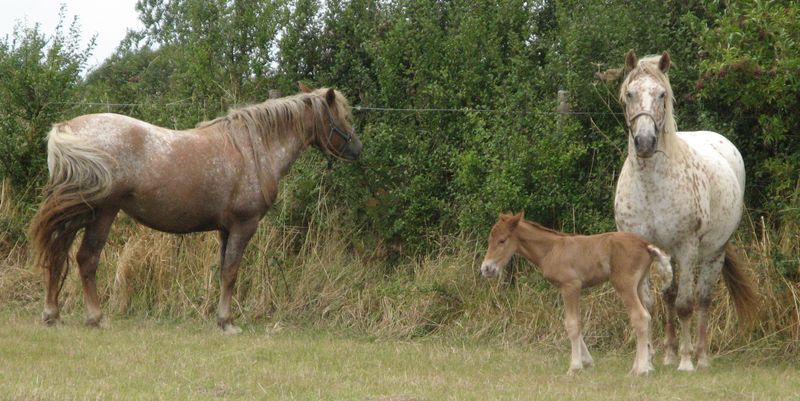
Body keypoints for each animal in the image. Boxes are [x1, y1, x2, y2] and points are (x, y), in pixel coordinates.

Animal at [27, 83, 360, 332]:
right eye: (341, 116)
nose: (357, 149)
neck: (252, 148)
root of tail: (66, 128)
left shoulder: (225, 229)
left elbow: (224, 270)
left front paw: (221, 319)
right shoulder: (244, 225)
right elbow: (231, 272)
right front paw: (227, 322)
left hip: (78, 213)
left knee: (59, 254)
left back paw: (52, 314)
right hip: (102, 212)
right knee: (86, 259)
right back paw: (95, 317)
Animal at [478, 212, 672, 376]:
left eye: (502, 241)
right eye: (490, 239)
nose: (486, 269)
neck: (552, 249)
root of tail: (646, 245)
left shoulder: (570, 286)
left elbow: (571, 324)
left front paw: (574, 367)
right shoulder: (570, 289)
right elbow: (577, 322)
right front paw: (587, 362)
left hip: (624, 284)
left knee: (640, 317)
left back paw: (640, 370)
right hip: (638, 284)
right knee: (647, 315)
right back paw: (645, 366)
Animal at [612, 50, 756, 372]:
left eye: (661, 94)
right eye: (629, 94)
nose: (644, 142)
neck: (651, 186)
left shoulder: (687, 248)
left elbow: (685, 305)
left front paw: (686, 361)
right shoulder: (645, 249)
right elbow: (649, 305)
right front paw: (649, 358)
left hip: (713, 253)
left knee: (702, 299)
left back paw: (701, 356)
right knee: (668, 296)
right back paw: (668, 354)